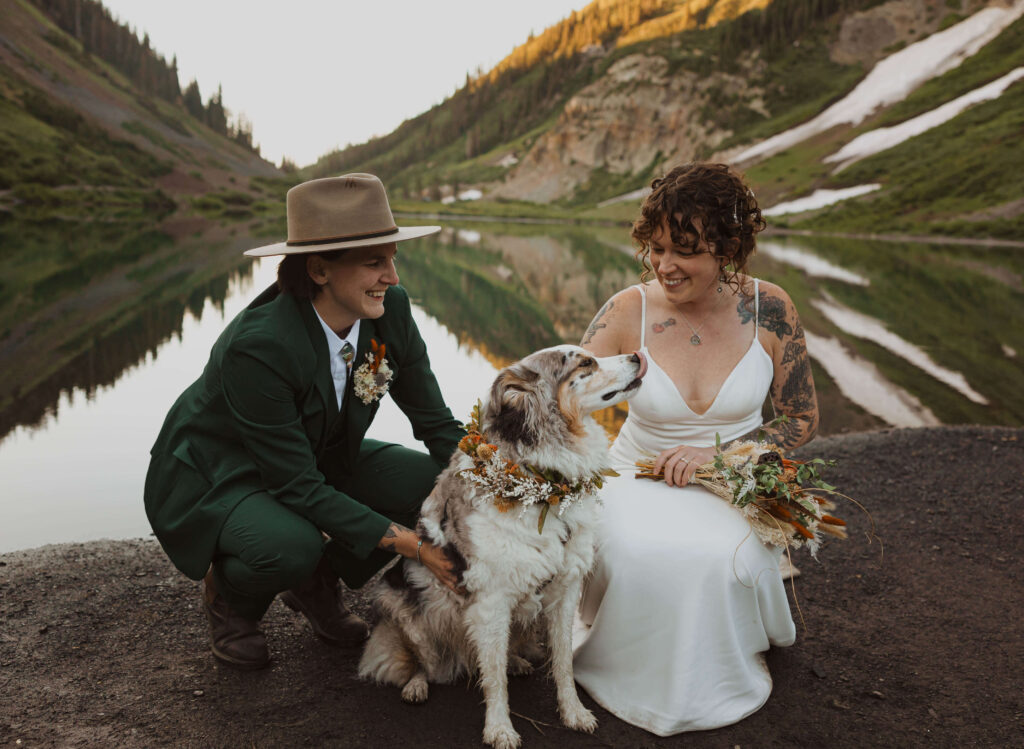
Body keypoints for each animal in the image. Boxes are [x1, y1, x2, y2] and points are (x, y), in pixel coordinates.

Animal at [360, 346, 647, 749]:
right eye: (584, 363)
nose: (638, 354)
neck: (544, 488)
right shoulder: (492, 601)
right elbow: (494, 677)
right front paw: (499, 729)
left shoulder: (565, 588)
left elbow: (563, 661)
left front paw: (573, 712)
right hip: (404, 608)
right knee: (422, 661)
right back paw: (417, 684)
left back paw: (516, 661)